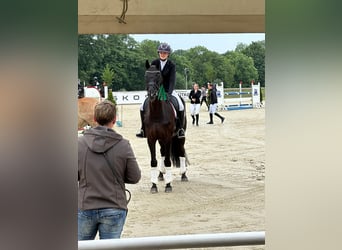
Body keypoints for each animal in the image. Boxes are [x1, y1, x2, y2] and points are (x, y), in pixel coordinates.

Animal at [144, 61, 188, 193]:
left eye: (158, 75)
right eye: (146, 75)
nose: (152, 94)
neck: (157, 113)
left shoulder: (168, 137)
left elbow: (168, 161)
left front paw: (168, 185)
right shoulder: (151, 139)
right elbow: (154, 161)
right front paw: (153, 186)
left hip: (179, 136)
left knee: (181, 151)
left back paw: (183, 174)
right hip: (161, 139)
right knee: (163, 152)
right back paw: (160, 174)